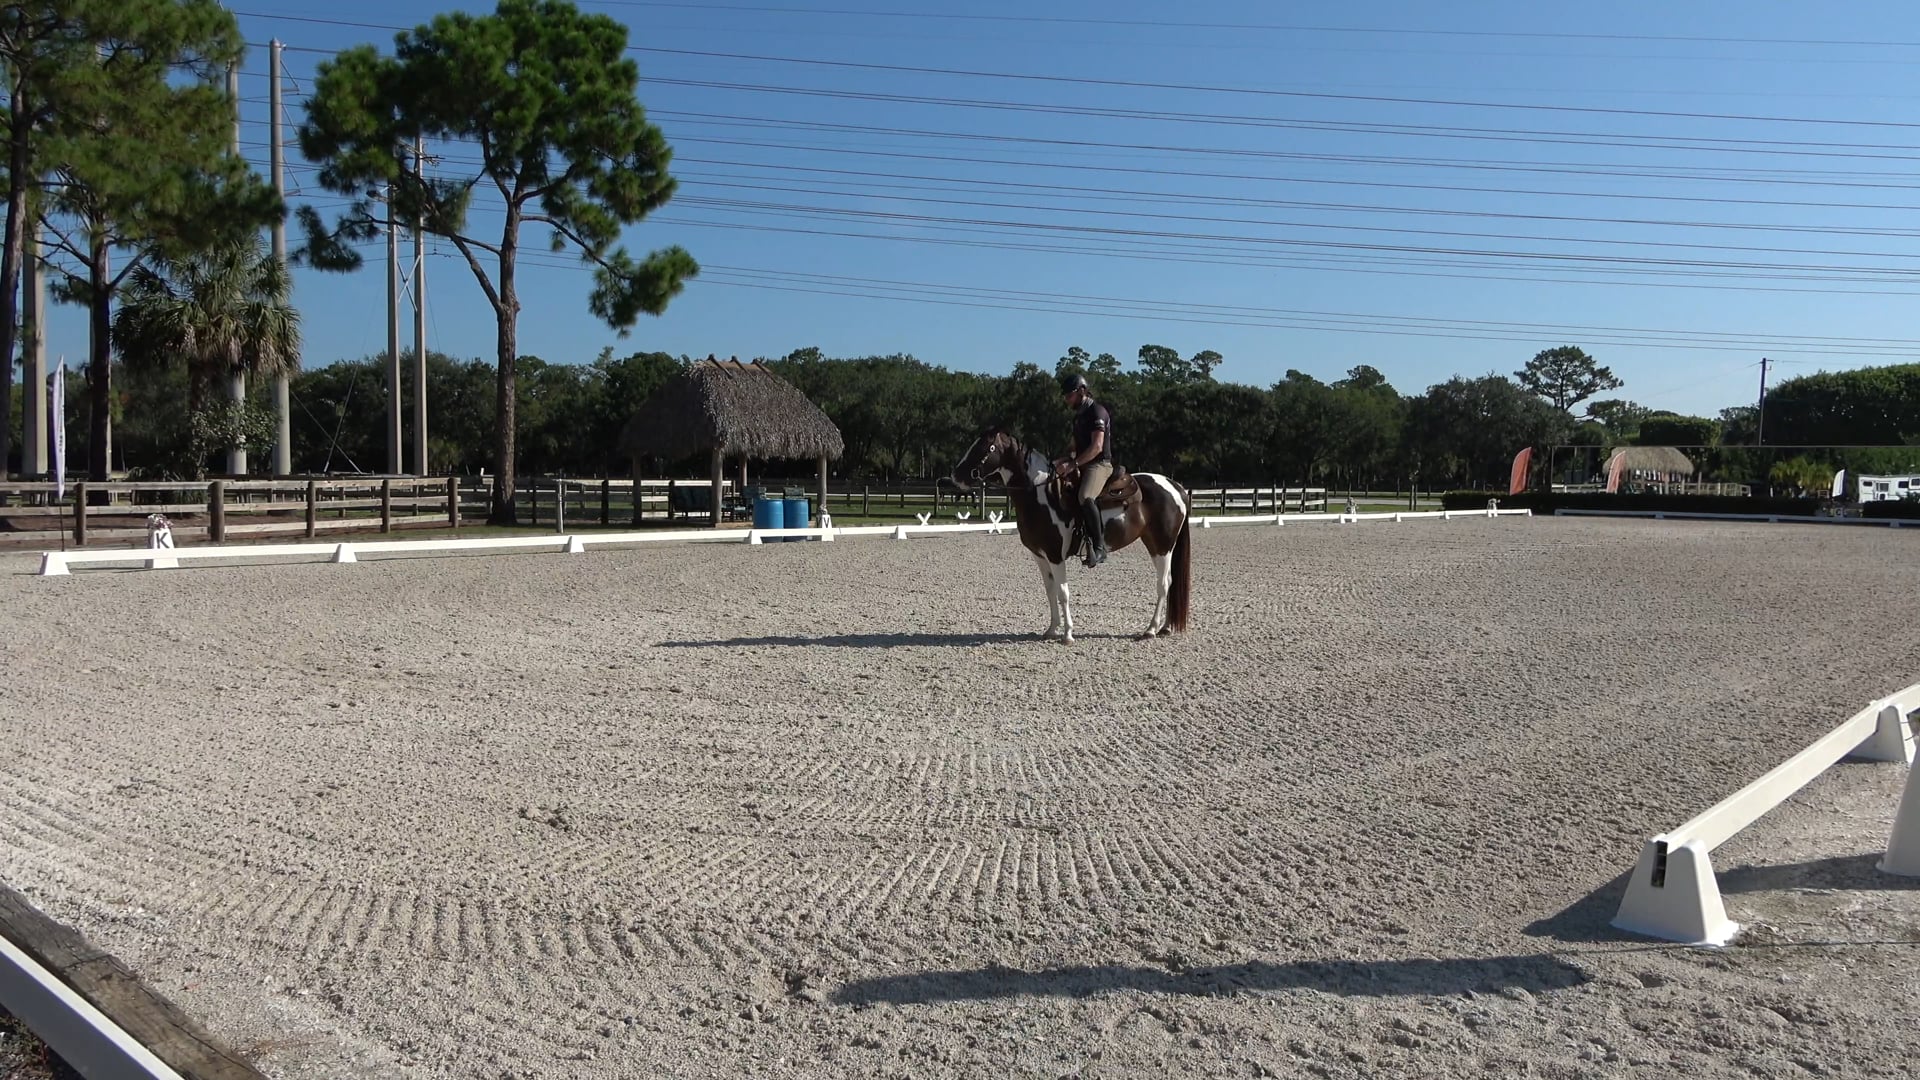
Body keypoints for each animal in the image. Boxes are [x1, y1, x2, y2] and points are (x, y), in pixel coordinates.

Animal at [949, 428, 1192, 643]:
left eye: (984, 448)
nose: (955, 476)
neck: (1042, 495)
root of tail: (1175, 485)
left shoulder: (1056, 556)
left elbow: (1063, 592)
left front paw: (1067, 634)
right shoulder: (1040, 556)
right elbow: (1050, 590)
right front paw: (1051, 630)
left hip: (1163, 546)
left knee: (1163, 584)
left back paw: (1150, 629)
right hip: (1153, 543)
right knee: (1169, 583)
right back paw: (1165, 627)